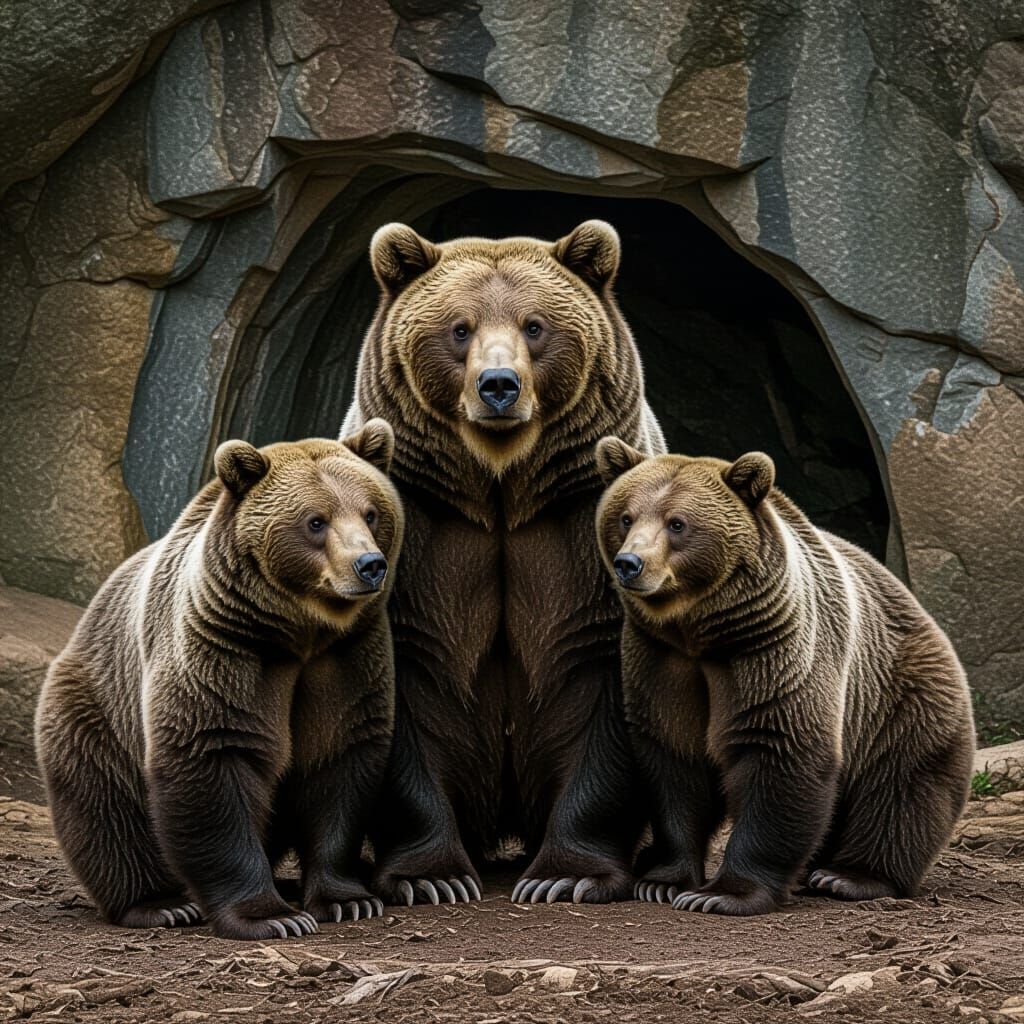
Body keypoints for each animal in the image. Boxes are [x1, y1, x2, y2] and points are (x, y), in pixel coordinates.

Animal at [35, 421, 404, 939]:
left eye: (371, 513)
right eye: (316, 520)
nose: (369, 565)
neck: (300, 632)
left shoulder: (347, 657)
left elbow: (340, 758)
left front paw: (348, 899)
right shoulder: (225, 648)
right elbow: (213, 756)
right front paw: (271, 916)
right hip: (97, 706)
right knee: (107, 807)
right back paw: (161, 904)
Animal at [340, 220, 665, 905]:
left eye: (535, 325)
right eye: (459, 328)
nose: (498, 385)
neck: (499, 485)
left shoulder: (583, 522)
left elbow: (600, 682)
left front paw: (567, 875)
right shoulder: (419, 526)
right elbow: (407, 687)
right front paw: (429, 878)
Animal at [594, 438, 975, 916]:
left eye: (677, 523)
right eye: (625, 516)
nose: (630, 563)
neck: (701, 632)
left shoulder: (772, 651)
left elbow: (780, 749)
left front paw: (724, 892)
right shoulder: (659, 660)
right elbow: (673, 760)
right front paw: (662, 879)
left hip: (900, 695)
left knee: (902, 787)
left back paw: (848, 875)